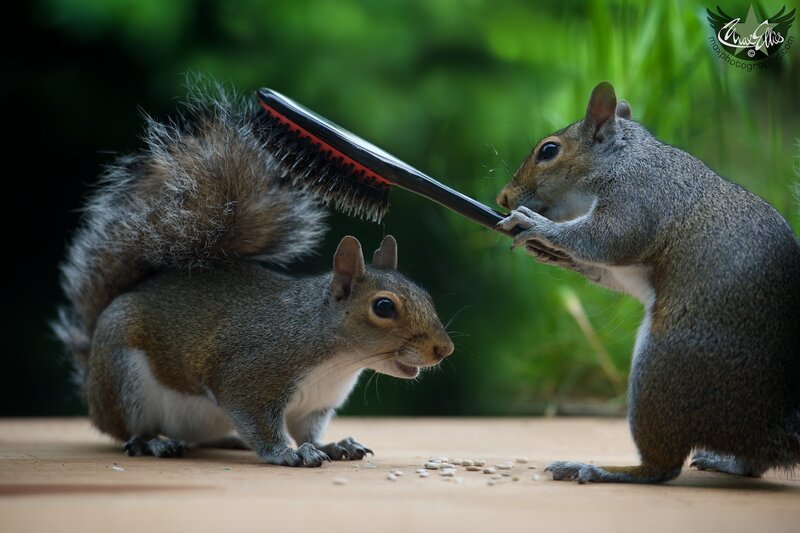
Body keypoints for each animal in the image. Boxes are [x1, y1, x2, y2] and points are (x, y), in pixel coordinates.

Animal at [53, 86, 454, 467]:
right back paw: (152, 443)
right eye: (383, 307)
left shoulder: (314, 406)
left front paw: (333, 445)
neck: (337, 359)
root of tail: (91, 380)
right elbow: (259, 422)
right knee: (130, 431)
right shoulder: (248, 375)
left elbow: (308, 430)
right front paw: (287, 453)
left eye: (425, 295)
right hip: (124, 379)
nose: (444, 349)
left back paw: (228, 441)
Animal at [496, 81, 800, 484]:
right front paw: (553, 254)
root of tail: (772, 427)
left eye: (549, 150)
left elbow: (608, 239)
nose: (503, 197)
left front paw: (539, 228)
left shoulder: (639, 198)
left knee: (663, 467)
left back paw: (601, 469)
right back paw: (729, 463)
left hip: (663, 367)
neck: (623, 157)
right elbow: (610, 267)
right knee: (755, 460)